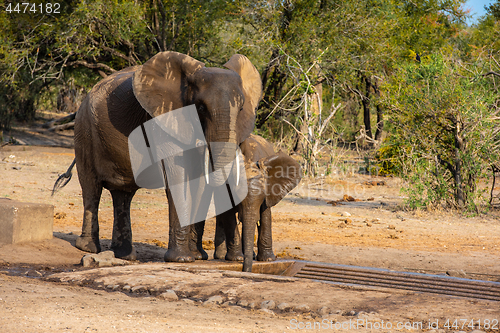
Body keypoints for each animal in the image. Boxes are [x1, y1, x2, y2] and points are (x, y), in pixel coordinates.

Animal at [74, 50, 264, 260]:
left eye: (241, 109)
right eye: (200, 108)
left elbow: (199, 183)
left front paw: (197, 256)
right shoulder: (164, 120)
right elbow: (177, 177)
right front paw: (182, 259)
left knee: (122, 194)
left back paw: (124, 255)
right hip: (84, 130)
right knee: (91, 187)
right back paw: (88, 248)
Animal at [214, 134, 300, 272]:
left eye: (262, 197)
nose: (246, 271)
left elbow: (265, 215)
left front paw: (268, 260)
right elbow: (229, 215)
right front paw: (237, 259)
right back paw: (221, 256)